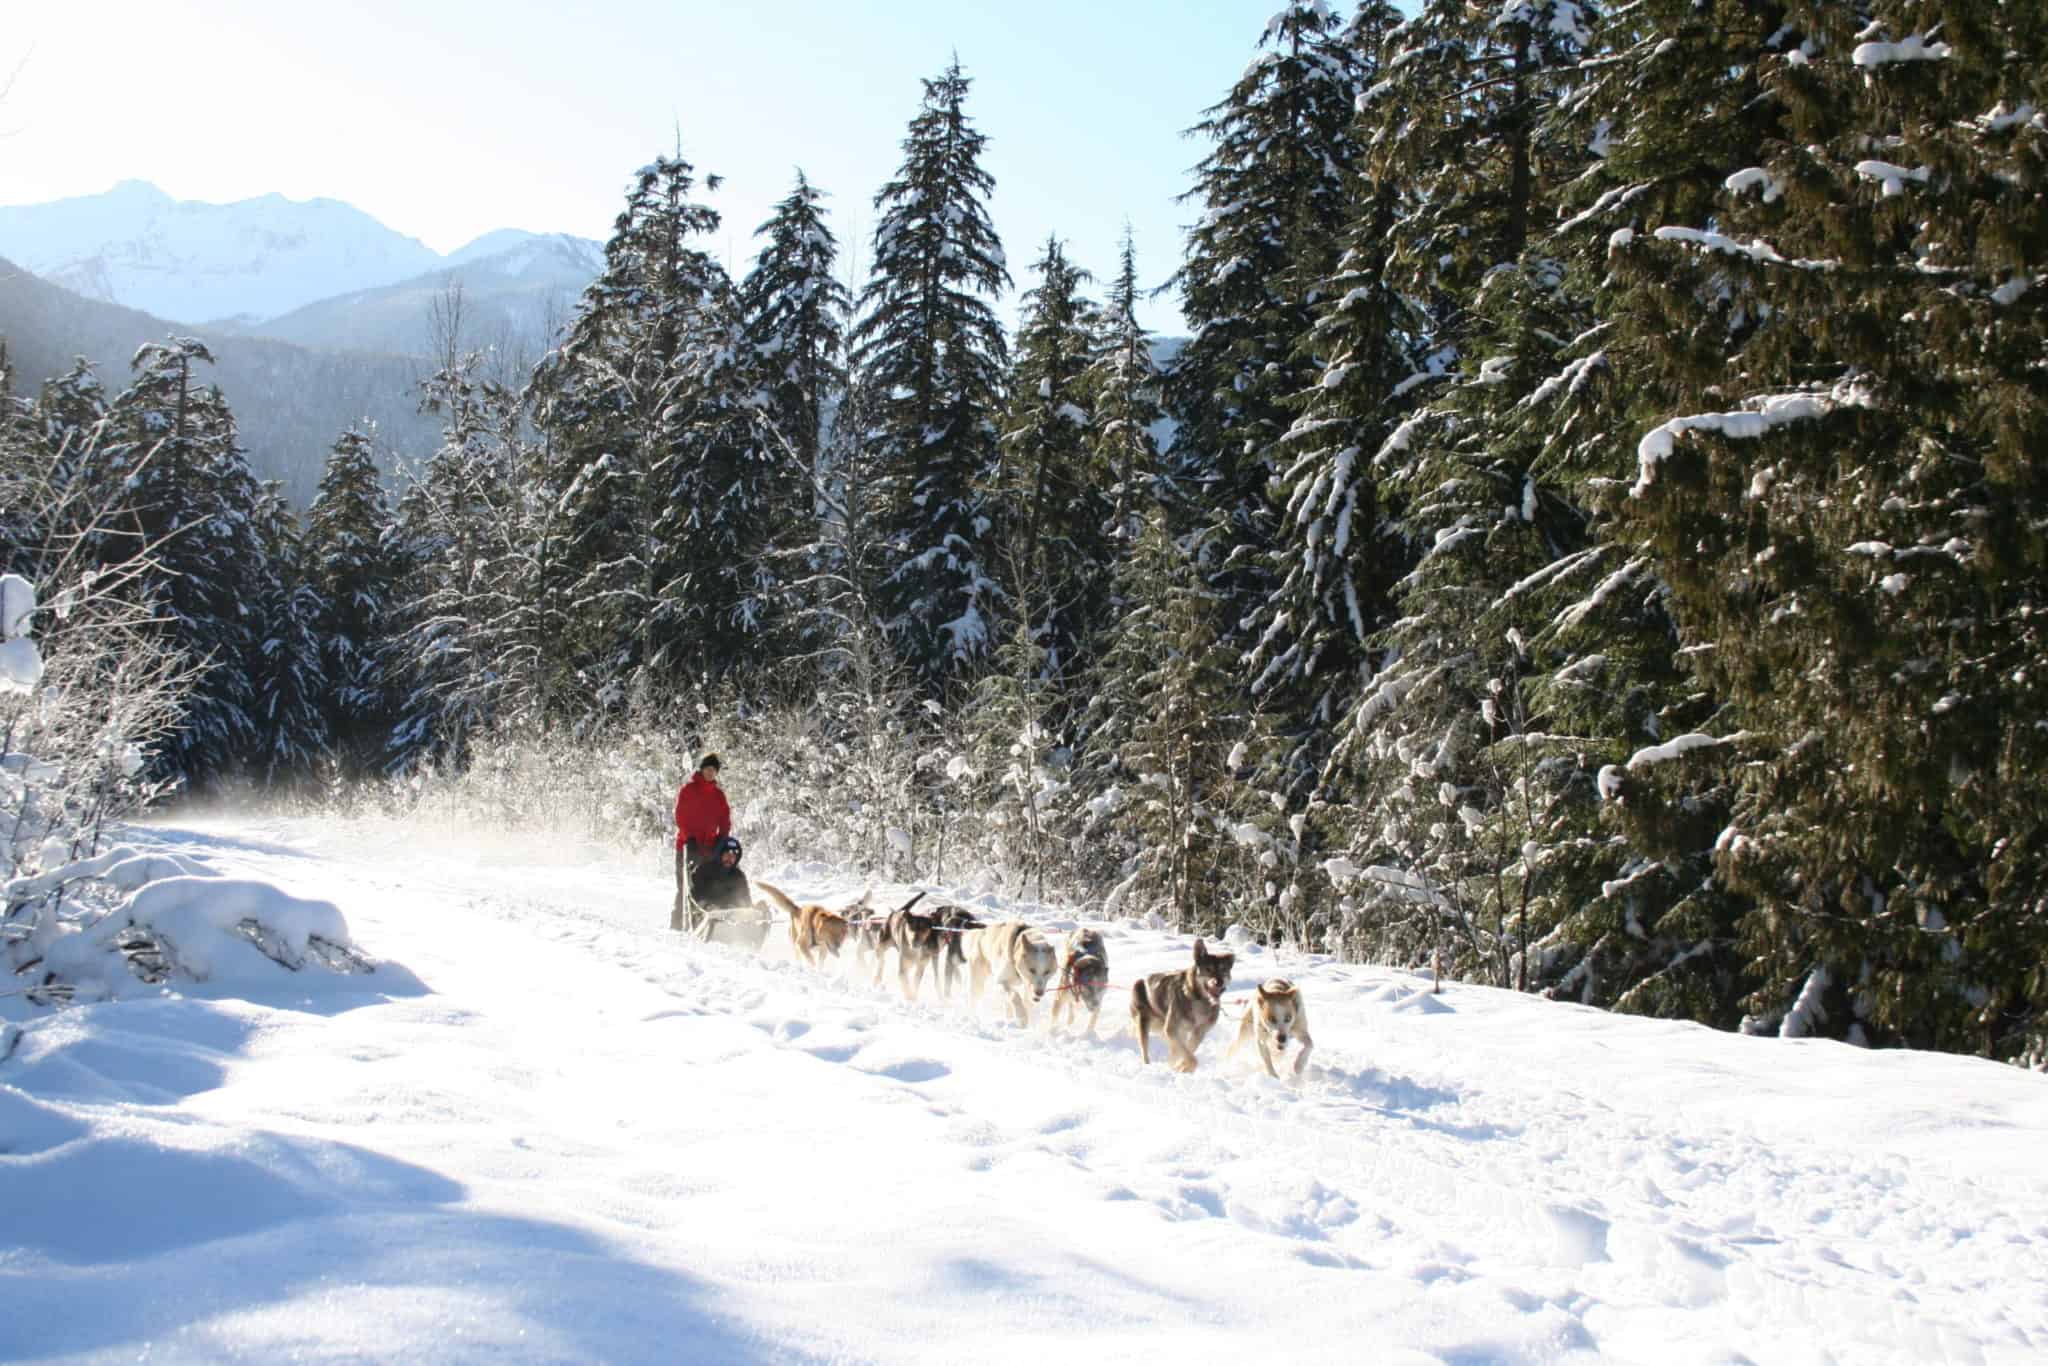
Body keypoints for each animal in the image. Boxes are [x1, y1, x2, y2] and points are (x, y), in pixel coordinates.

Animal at [1130, 933, 1236, 1073]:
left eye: (1223, 970)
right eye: (1208, 969)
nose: (1219, 982)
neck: (1201, 1001)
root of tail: (1143, 979)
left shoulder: (1199, 1033)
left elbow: (1188, 1051)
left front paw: (1181, 1067)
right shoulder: (1171, 1030)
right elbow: (1190, 1057)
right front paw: (1183, 1066)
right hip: (1145, 1023)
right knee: (1145, 1051)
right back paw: (1148, 1066)